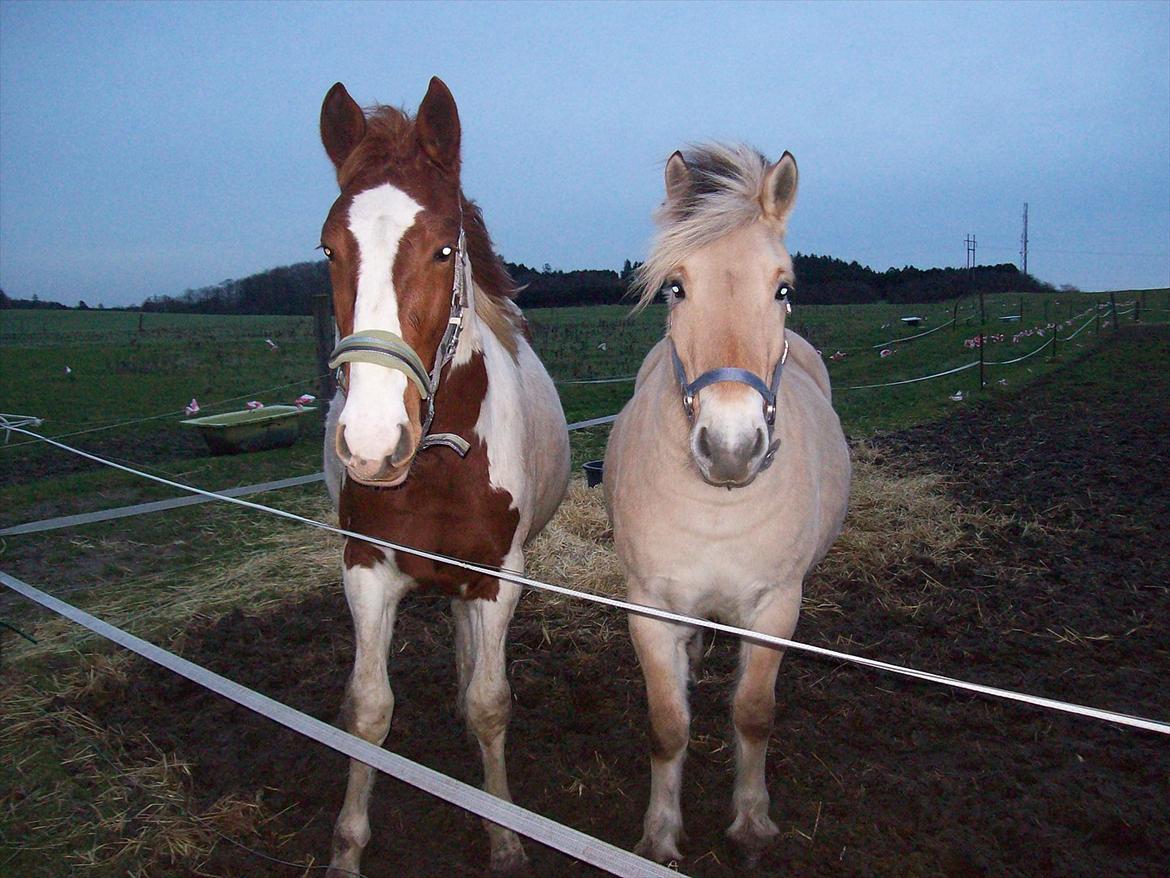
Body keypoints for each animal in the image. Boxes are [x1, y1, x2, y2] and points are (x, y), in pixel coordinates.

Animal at [320, 79, 570, 875]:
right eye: (328, 248)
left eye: (443, 249)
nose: (371, 443)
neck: (436, 462)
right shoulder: (366, 568)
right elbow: (367, 711)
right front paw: (347, 847)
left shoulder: (497, 579)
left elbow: (491, 704)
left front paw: (505, 838)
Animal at [603, 144, 851, 866]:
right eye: (676, 287)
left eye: (784, 288)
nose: (733, 446)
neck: (717, 506)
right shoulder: (649, 607)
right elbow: (668, 724)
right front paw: (660, 832)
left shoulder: (774, 608)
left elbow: (752, 713)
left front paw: (750, 821)